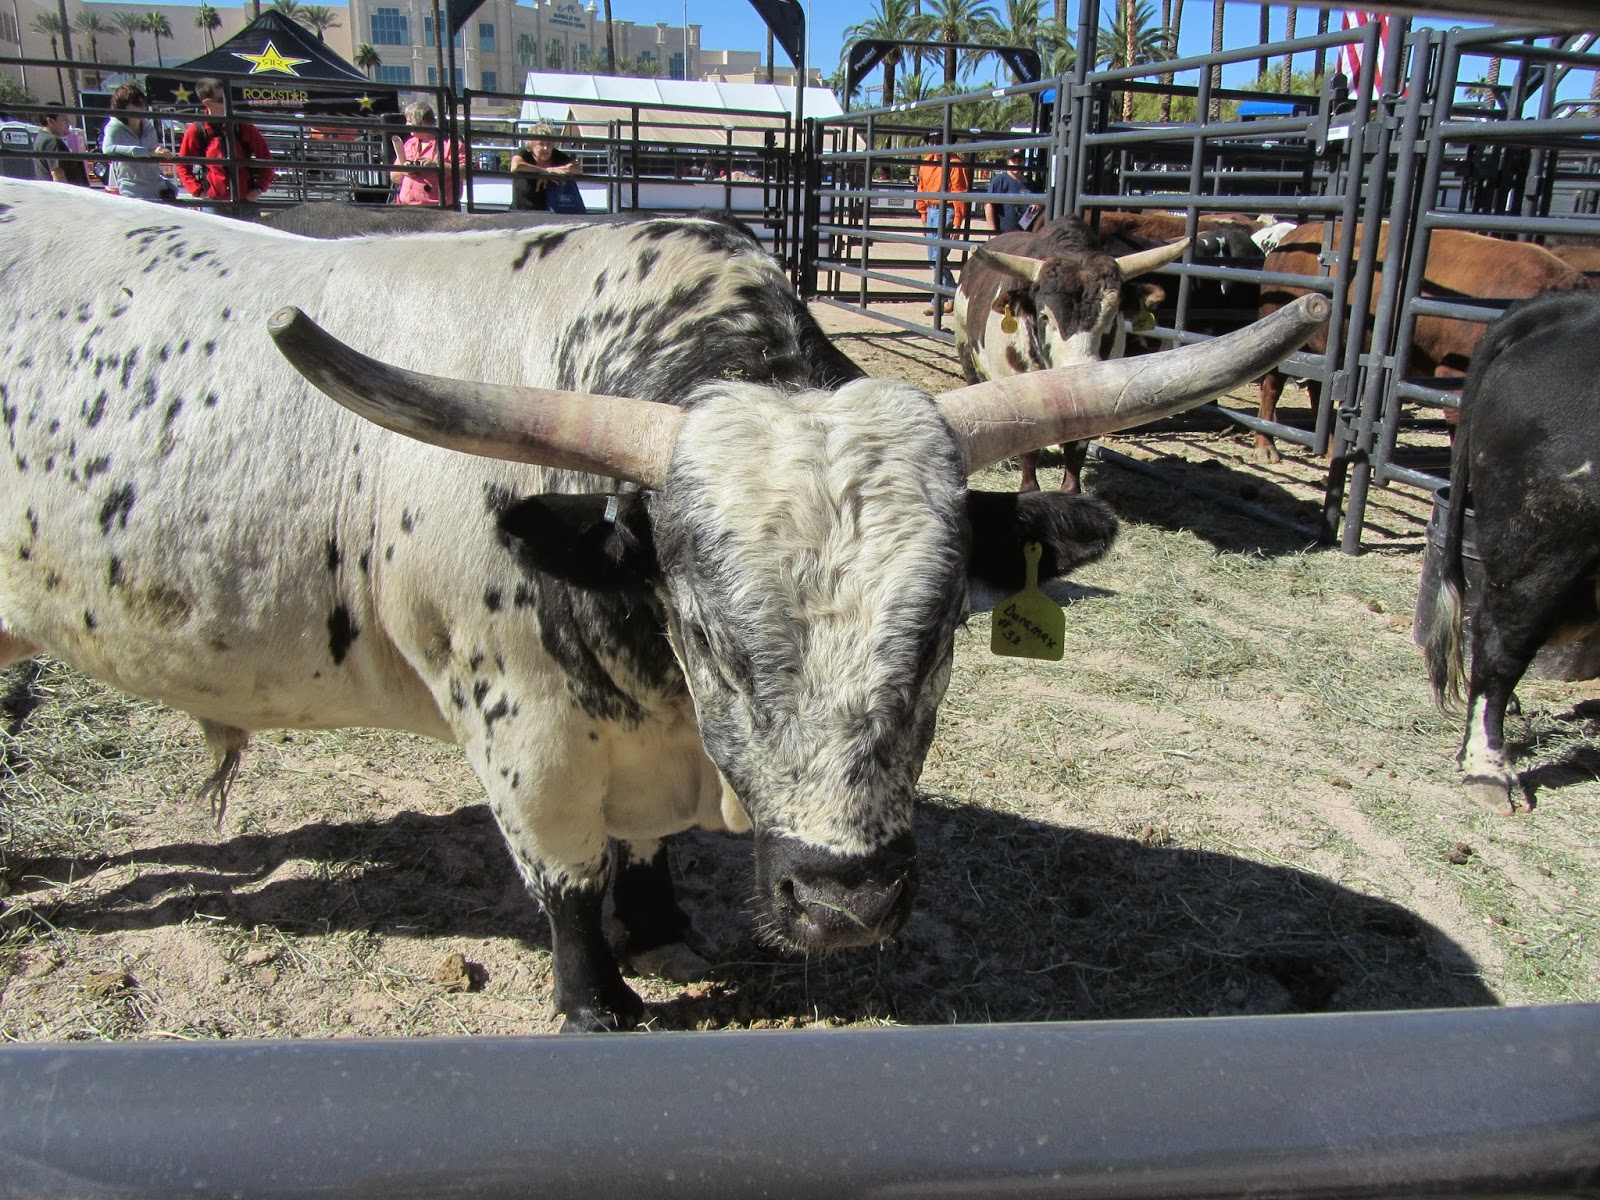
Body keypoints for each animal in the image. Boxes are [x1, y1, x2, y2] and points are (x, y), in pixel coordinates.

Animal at [952, 216, 1190, 494]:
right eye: (1045, 316)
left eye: (1112, 318)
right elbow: (1028, 448)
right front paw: (1029, 487)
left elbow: (1076, 449)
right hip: (965, 347)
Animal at [1256, 222, 1591, 462]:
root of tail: (1292, 237)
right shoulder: (1455, 378)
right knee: (1272, 387)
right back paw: (1266, 447)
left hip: (1323, 345)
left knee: (1318, 388)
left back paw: (1327, 446)